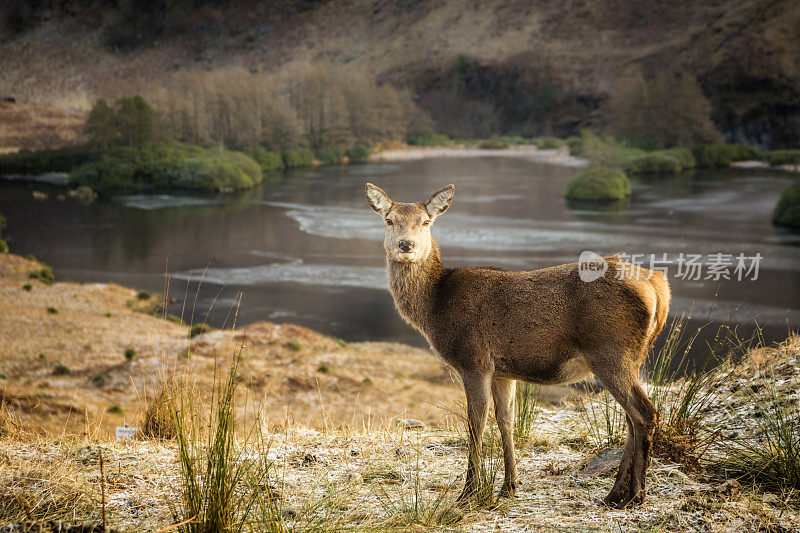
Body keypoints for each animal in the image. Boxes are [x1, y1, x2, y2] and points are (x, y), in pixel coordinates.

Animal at [362, 182, 668, 508]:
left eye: (425, 222)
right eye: (389, 220)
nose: (406, 245)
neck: (435, 307)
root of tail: (659, 287)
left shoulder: (474, 360)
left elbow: (476, 424)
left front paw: (469, 492)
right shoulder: (502, 372)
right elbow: (506, 421)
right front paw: (510, 485)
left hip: (611, 352)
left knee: (644, 412)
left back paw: (635, 494)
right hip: (631, 357)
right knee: (631, 418)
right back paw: (614, 493)